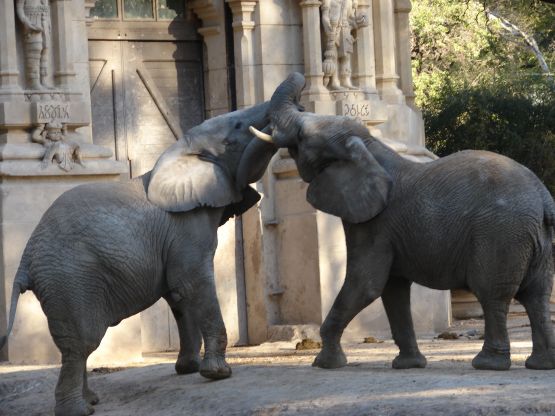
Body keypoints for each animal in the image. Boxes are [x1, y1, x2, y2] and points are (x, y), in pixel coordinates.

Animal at [0, 101, 278, 416]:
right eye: (238, 129)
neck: (181, 151)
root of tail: (26, 258)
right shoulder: (186, 228)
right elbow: (191, 284)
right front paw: (218, 374)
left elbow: (179, 295)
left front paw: (189, 368)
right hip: (70, 279)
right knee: (81, 343)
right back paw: (81, 410)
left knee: (76, 345)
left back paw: (91, 400)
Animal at [251, 73, 555, 372]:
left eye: (303, 138)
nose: (303, 99)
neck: (370, 147)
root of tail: (543, 197)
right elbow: (393, 290)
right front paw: (408, 365)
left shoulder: (374, 224)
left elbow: (366, 283)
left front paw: (325, 364)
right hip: (534, 237)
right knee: (537, 296)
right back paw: (540, 365)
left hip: (501, 234)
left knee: (493, 295)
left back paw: (487, 364)